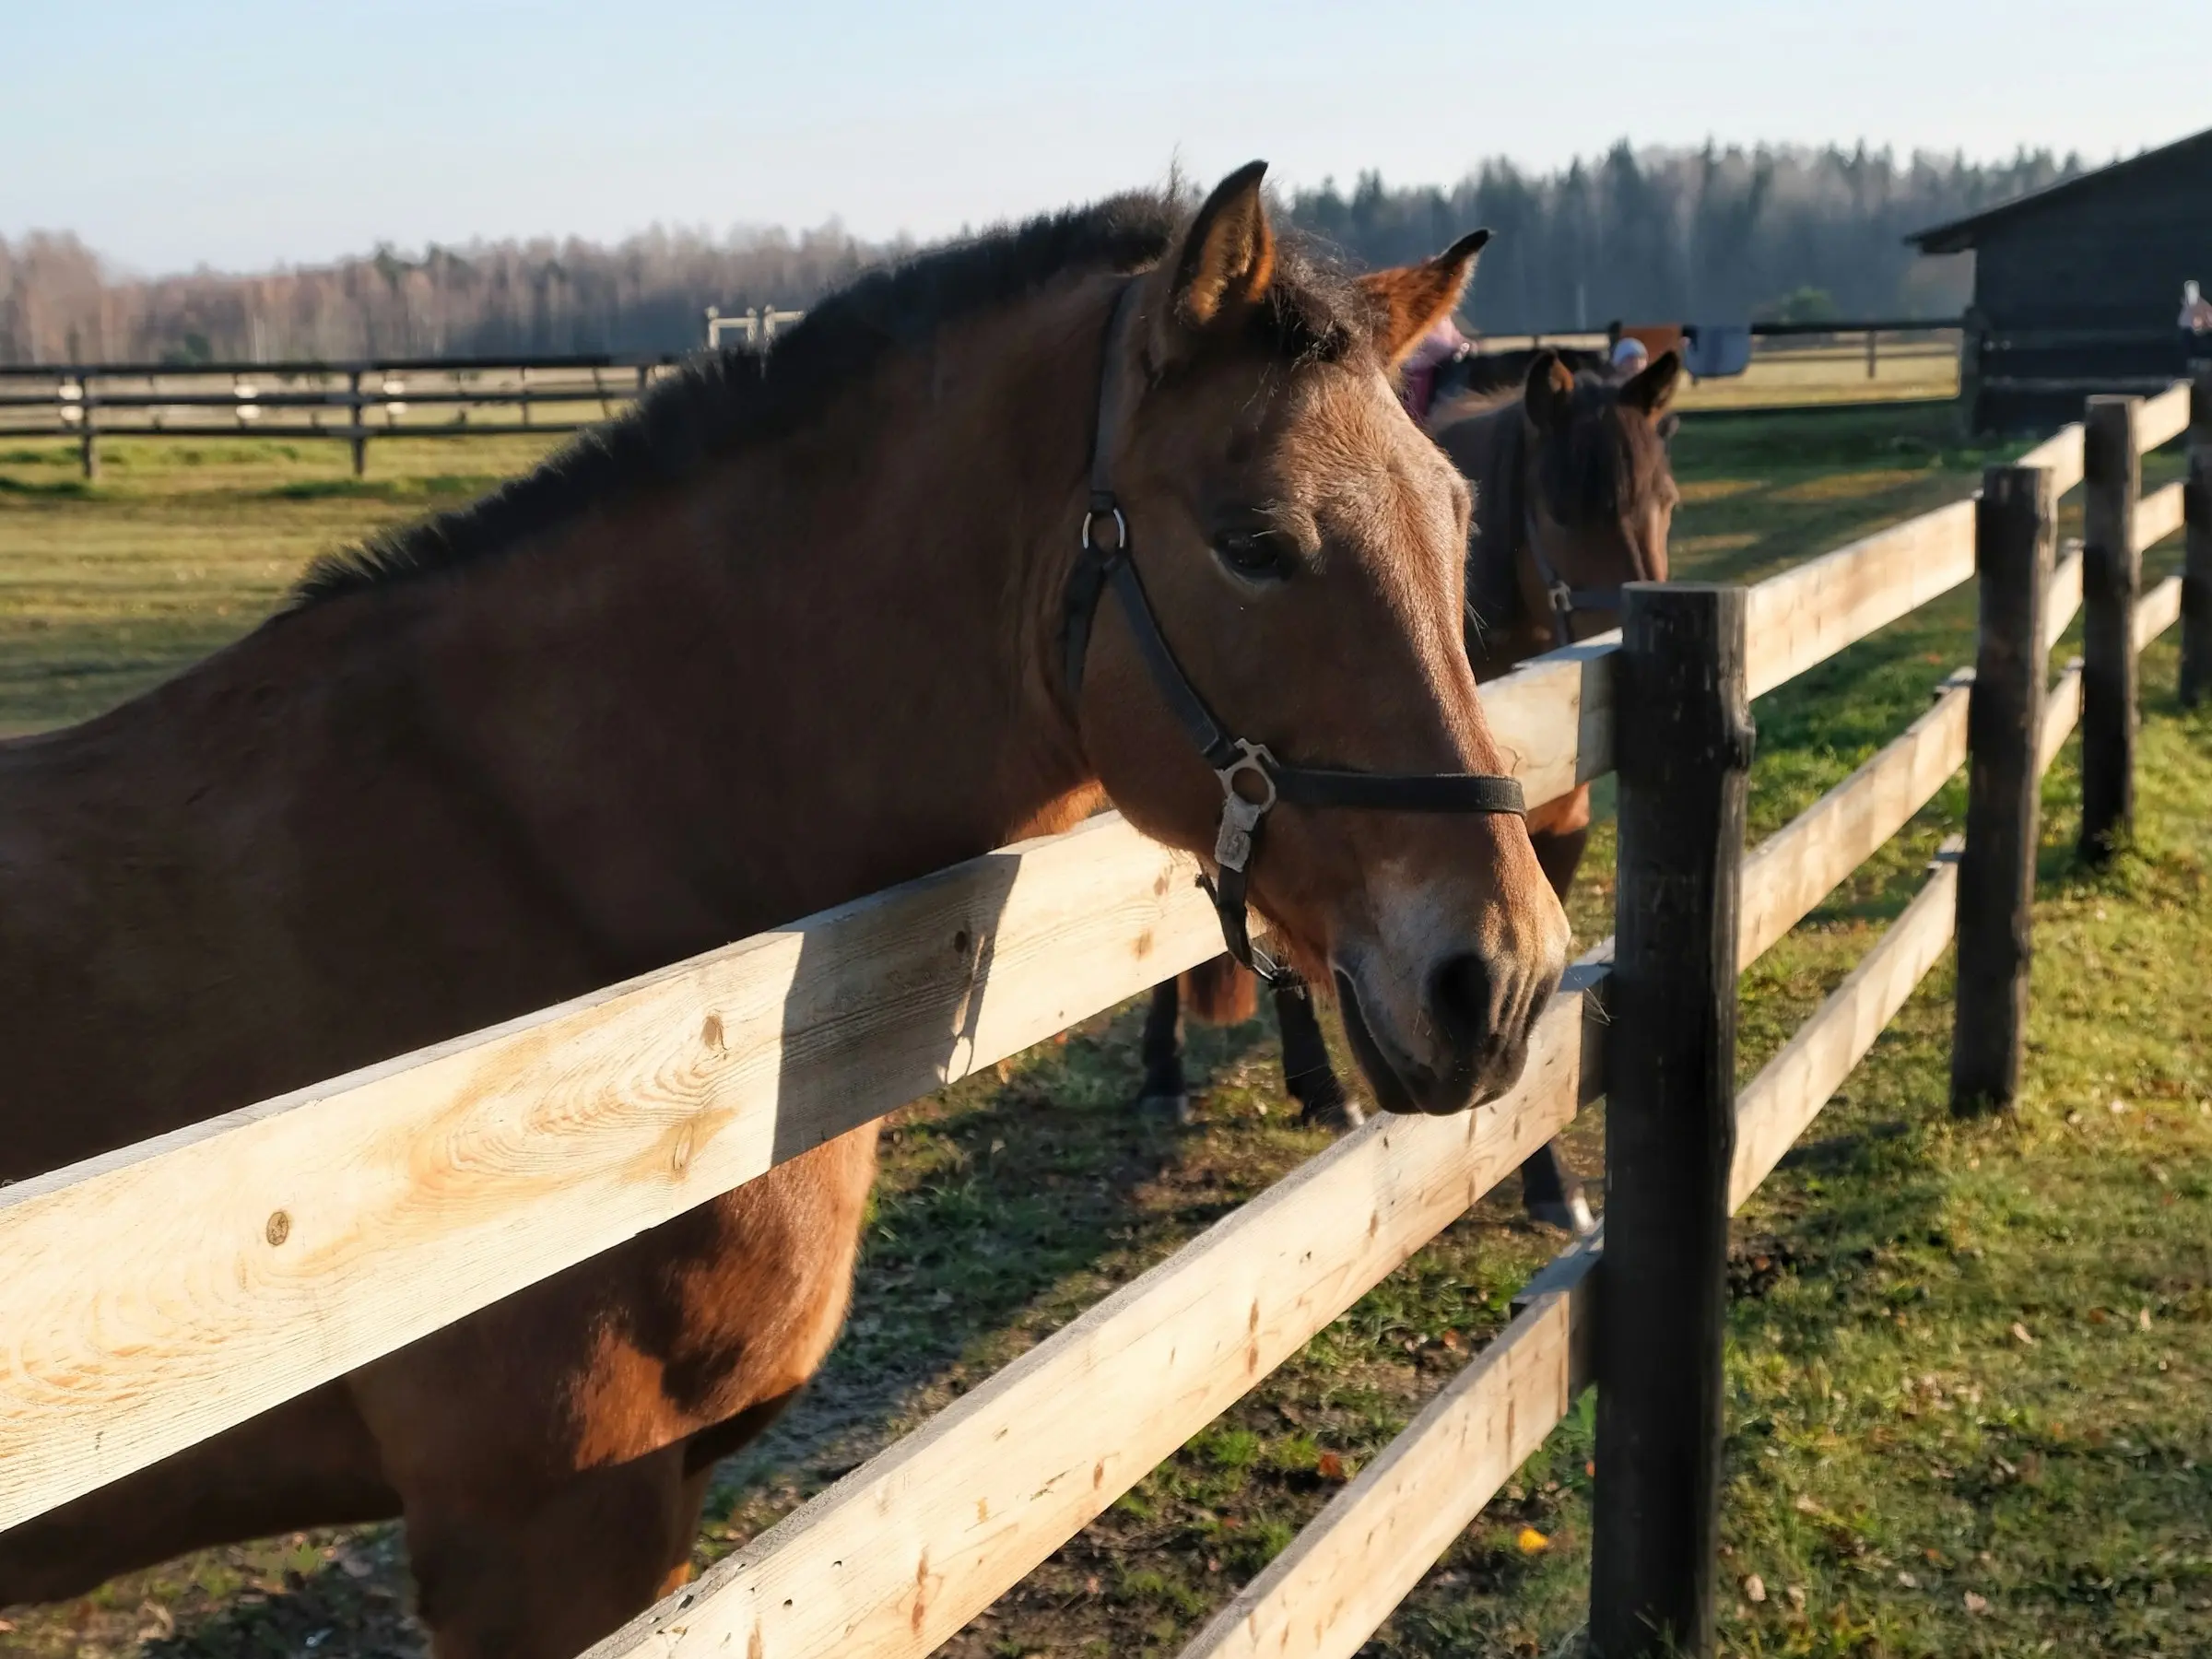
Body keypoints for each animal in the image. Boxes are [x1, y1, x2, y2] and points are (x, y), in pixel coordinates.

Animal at [1141, 351, 1672, 1239]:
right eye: (1560, 510)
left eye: (1667, 502)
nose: (1624, 639)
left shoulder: (1544, 852)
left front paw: (1548, 1177)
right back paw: (1174, 1074)